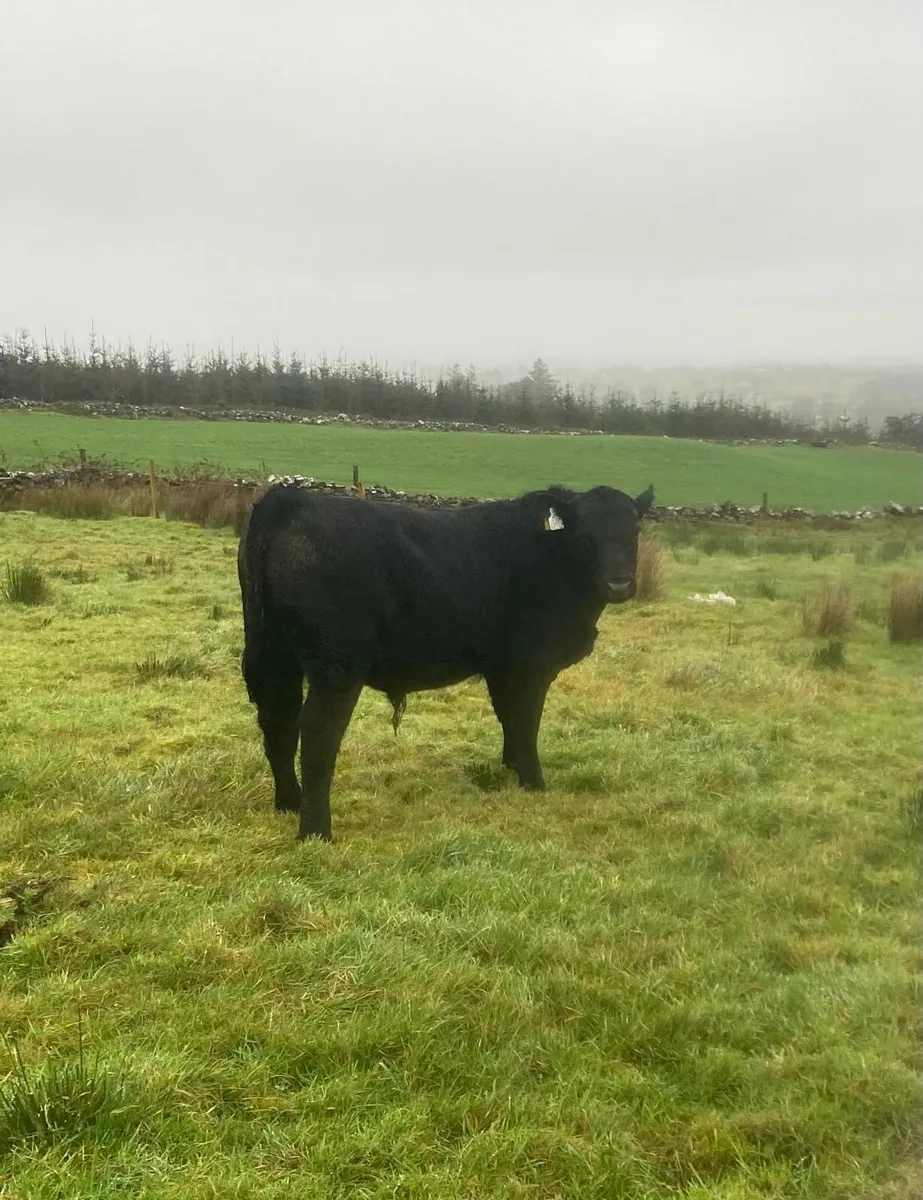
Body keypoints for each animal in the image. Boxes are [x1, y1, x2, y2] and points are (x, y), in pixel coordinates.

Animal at [238, 480, 655, 841]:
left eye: (634, 531)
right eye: (585, 535)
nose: (619, 584)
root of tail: (291, 500)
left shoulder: (501, 666)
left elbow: (509, 718)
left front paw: (512, 767)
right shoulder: (531, 664)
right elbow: (526, 720)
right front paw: (534, 782)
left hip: (275, 654)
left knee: (278, 722)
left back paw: (289, 803)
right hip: (336, 665)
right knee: (317, 734)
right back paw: (316, 831)